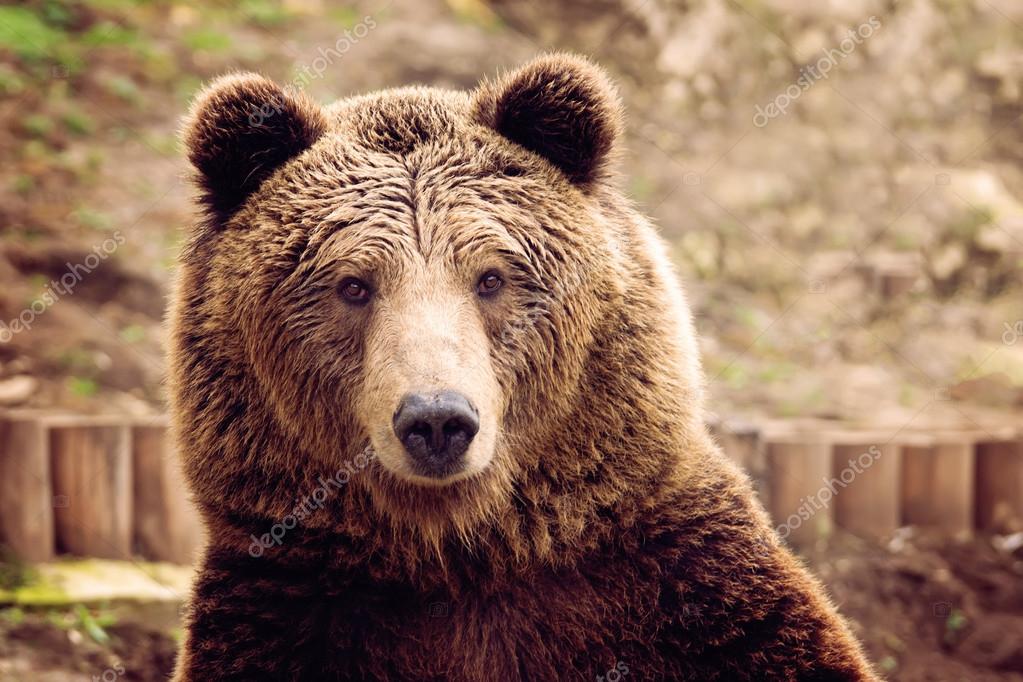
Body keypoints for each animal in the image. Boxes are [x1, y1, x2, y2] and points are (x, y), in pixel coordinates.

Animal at [169, 53, 877, 681]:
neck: (466, 553)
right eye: (353, 285)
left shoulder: (692, 594)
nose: (436, 420)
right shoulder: (289, 609)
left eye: (491, 278)